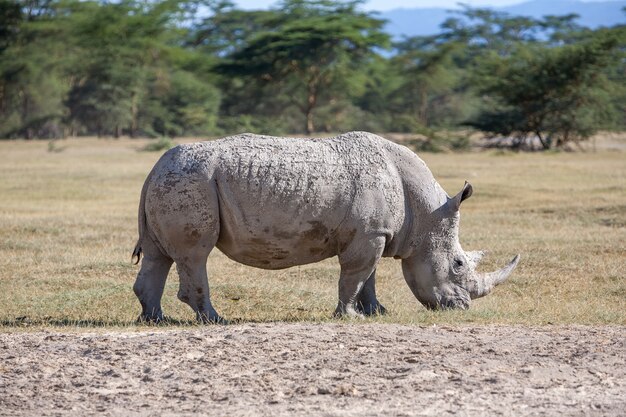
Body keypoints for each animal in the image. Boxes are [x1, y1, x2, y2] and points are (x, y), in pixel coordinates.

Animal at [132, 131, 516, 322]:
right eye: (458, 264)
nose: (462, 308)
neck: (426, 213)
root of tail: (155, 166)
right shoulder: (370, 233)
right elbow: (354, 276)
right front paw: (348, 317)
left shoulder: (373, 232)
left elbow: (368, 278)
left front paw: (376, 313)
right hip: (191, 181)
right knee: (195, 255)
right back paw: (215, 320)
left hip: (175, 180)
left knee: (158, 255)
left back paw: (155, 320)